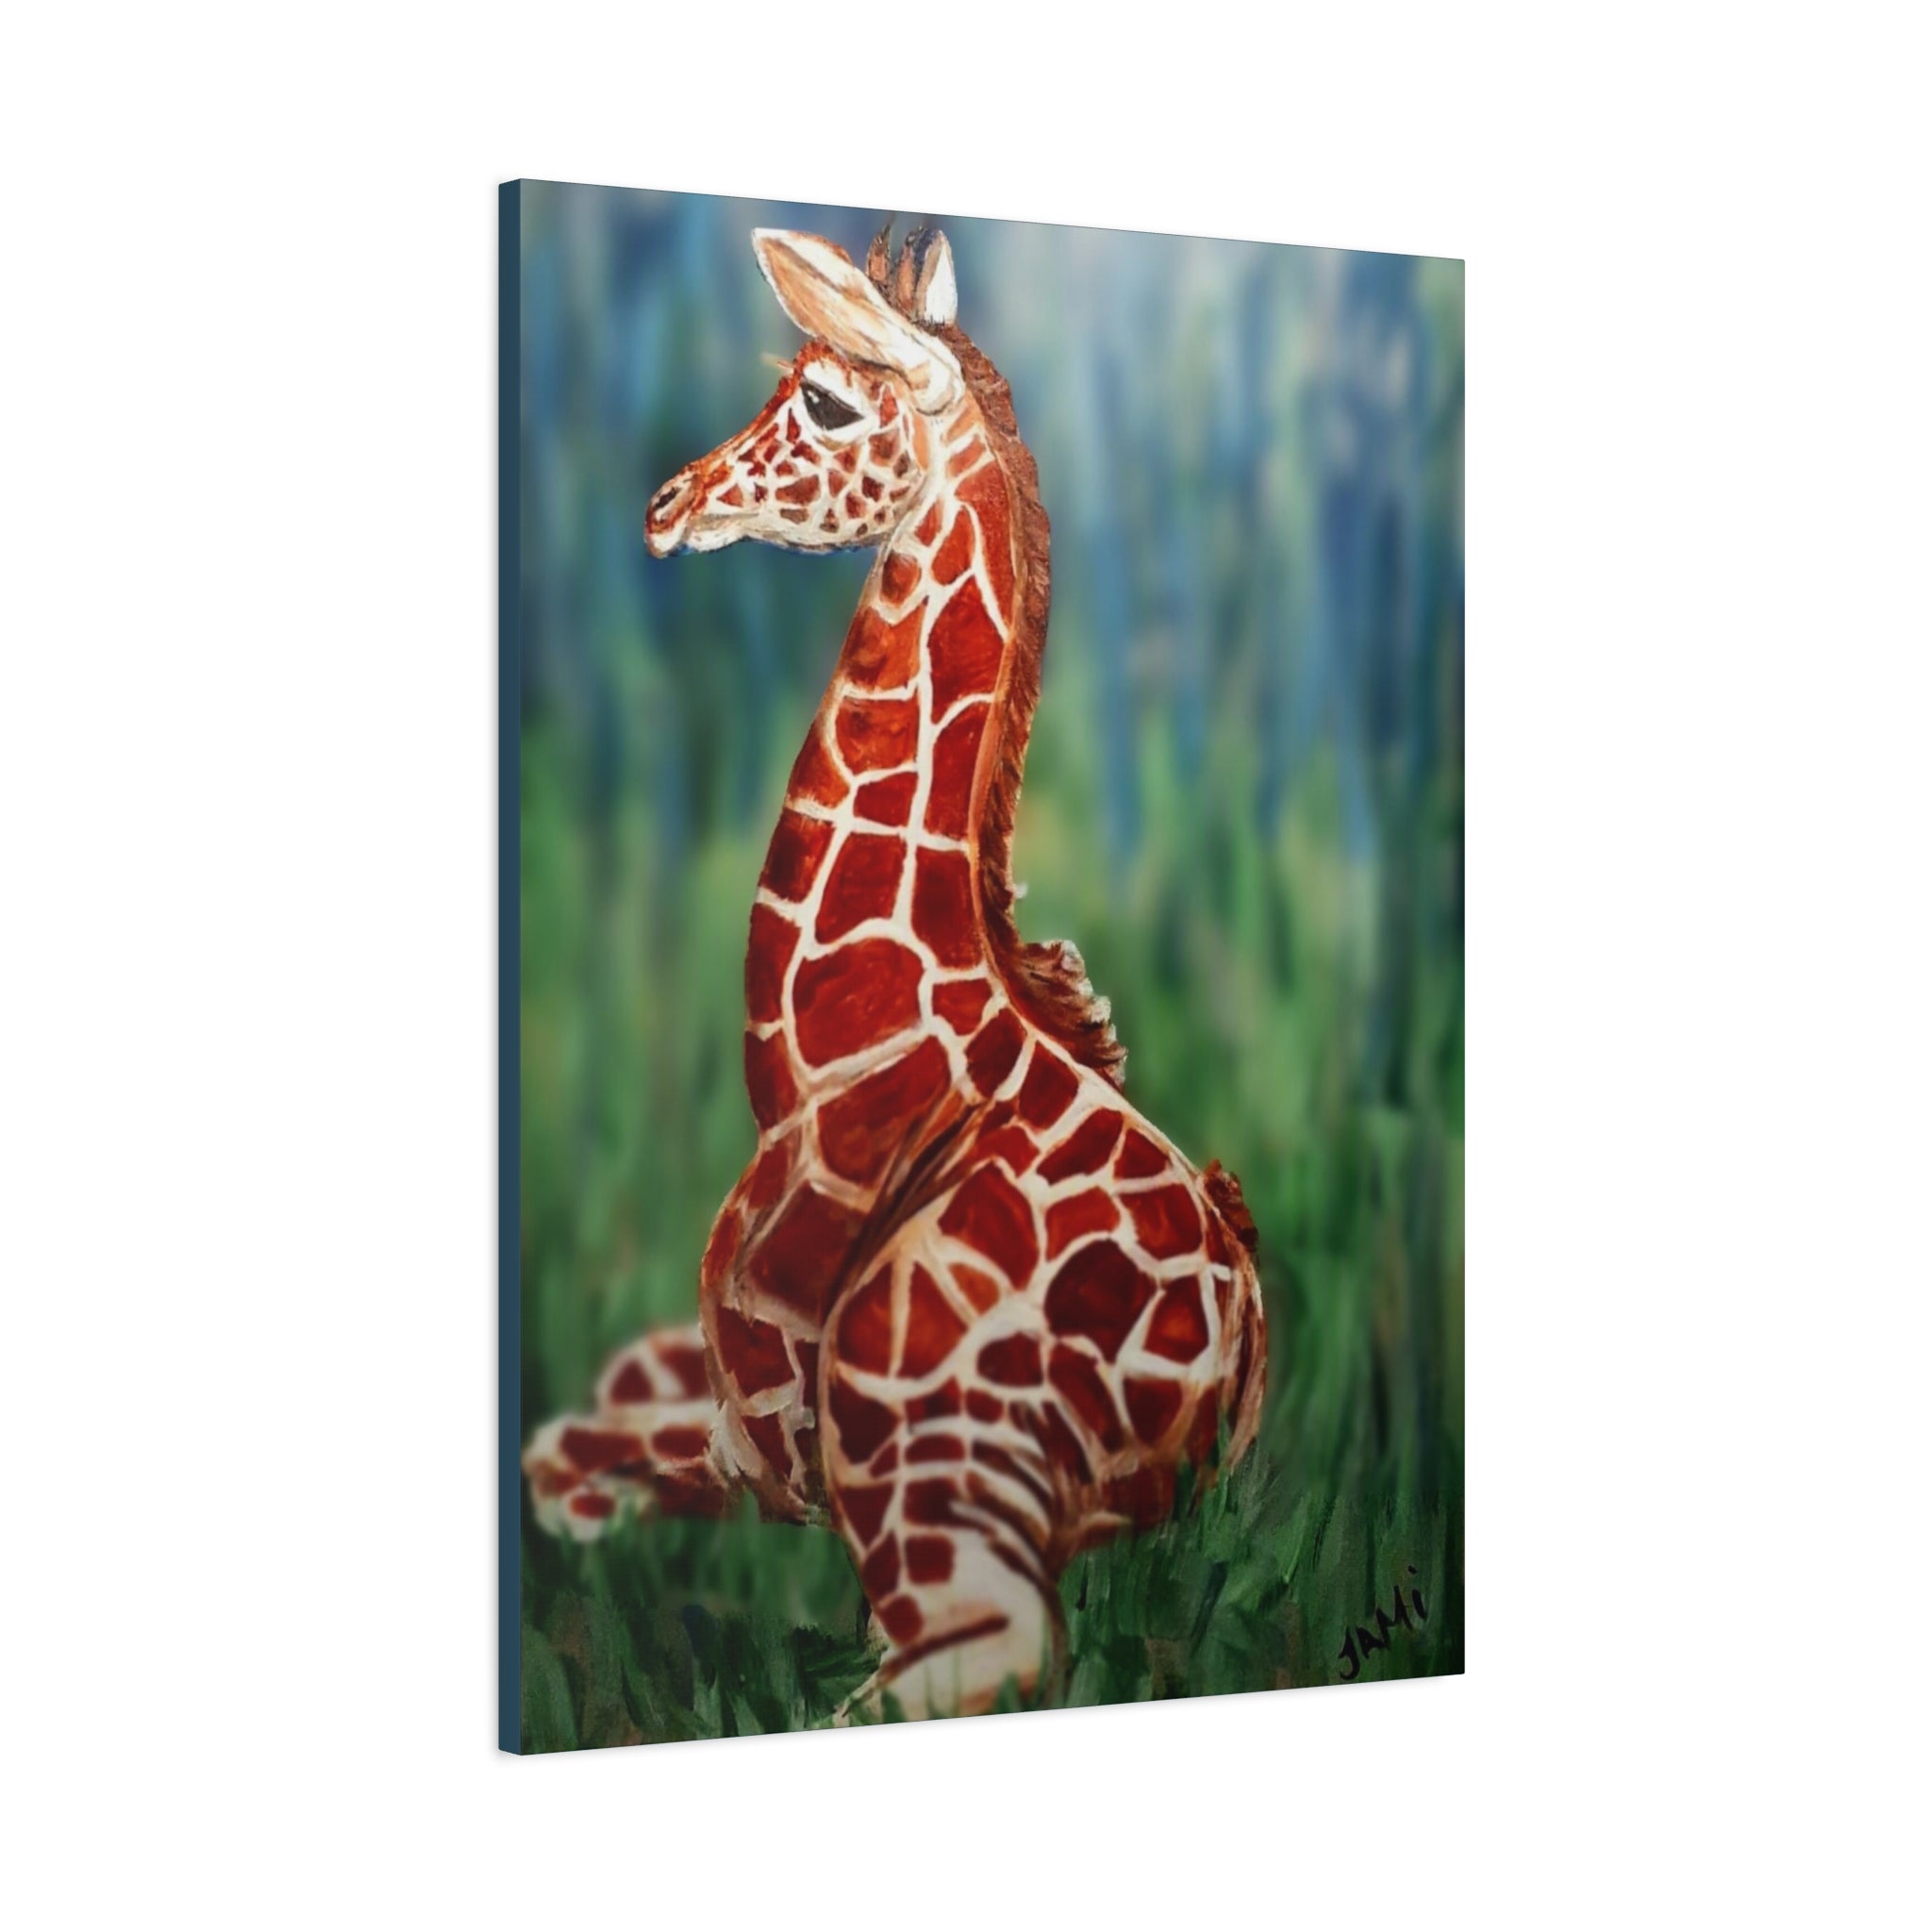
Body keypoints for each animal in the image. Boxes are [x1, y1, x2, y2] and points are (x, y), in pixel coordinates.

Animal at [524, 223, 1269, 1721]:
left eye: (822, 400)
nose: (666, 503)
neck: (819, 1060)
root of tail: (1225, 1401)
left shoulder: (775, 1420)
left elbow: (570, 1465)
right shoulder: (724, 1388)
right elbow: (579, 1423)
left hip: (920, 1435)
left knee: (987, 1653)